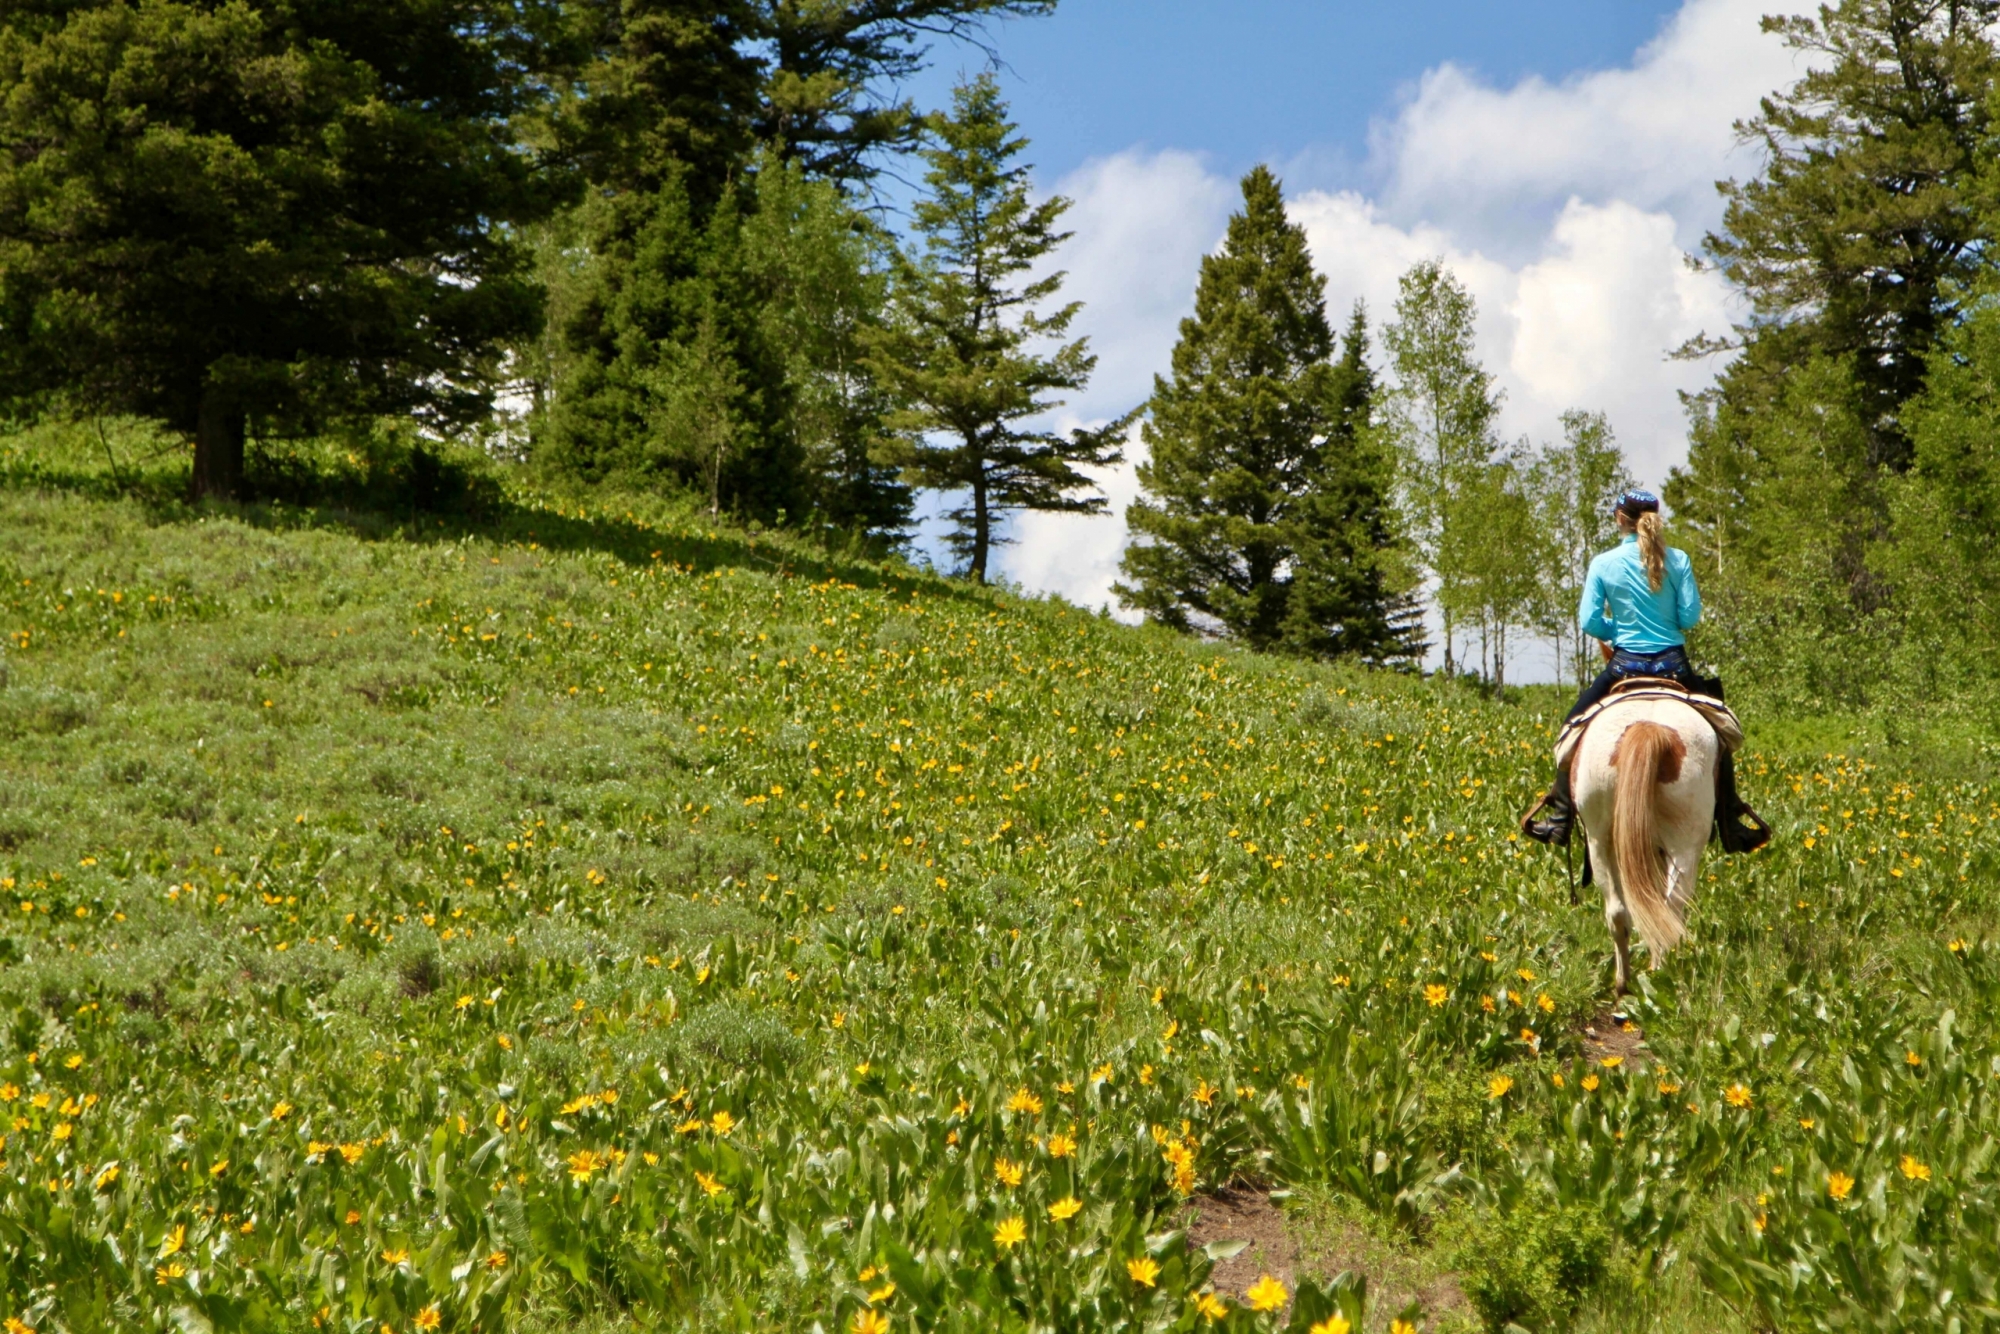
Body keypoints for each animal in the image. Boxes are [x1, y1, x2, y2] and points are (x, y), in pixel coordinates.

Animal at [1576, 696, 1720, 996]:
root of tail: (1651, 728)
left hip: (1600, 842)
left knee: (1623, 913)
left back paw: (1627, 981)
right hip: (1684, 845)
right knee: (1666, 910)